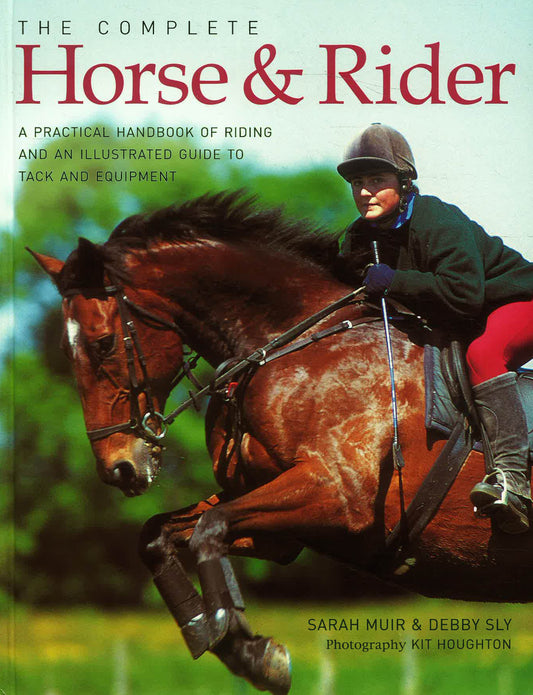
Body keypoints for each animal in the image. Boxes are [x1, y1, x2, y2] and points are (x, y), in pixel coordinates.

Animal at [29, 191, 533, 695]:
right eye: (66, 349)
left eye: (103, 343)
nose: (119, 468)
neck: (286, 344)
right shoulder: (282, 528)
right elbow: (160, 535)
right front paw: (223, 639)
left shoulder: (339, 496)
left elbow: (210, 527)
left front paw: (251, 654)